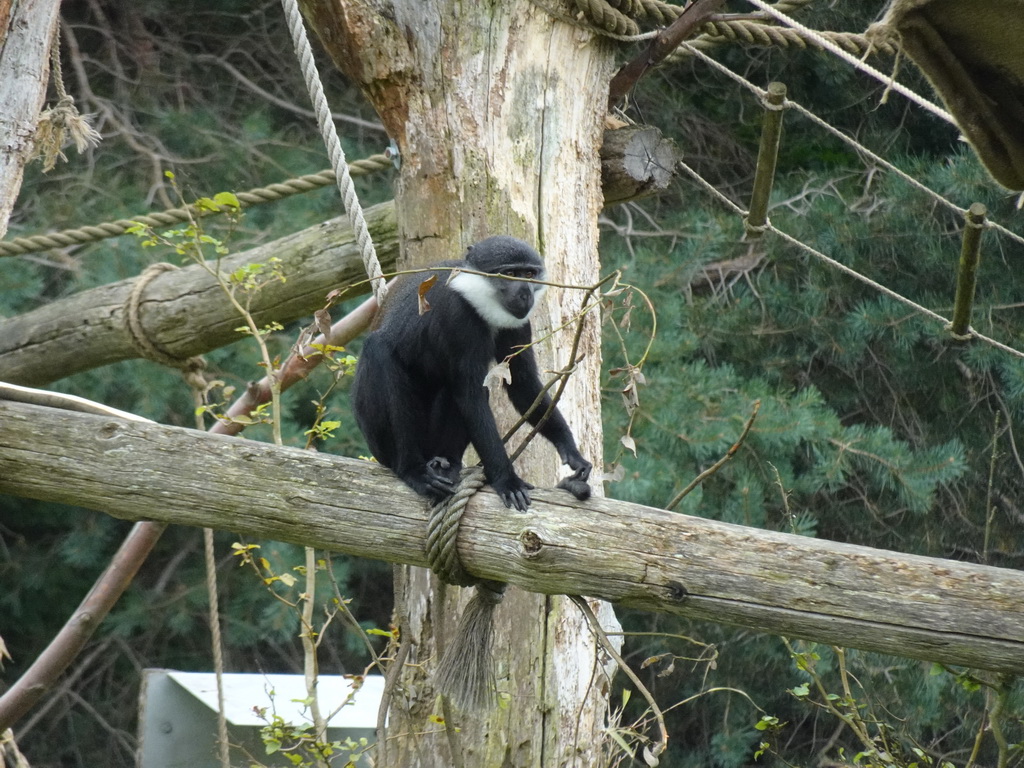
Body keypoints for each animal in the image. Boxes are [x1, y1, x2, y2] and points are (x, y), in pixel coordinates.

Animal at [352, 234, 593, 512]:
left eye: (529, 274)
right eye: (510, 274)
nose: (525, 294)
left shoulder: (519, 324)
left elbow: (522, 385)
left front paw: (571, 450)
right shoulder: (459, 316)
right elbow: (470, 394)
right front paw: (507, 480)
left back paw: (446, 463)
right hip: (377, 438)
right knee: (378, 351)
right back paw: (413, 470)